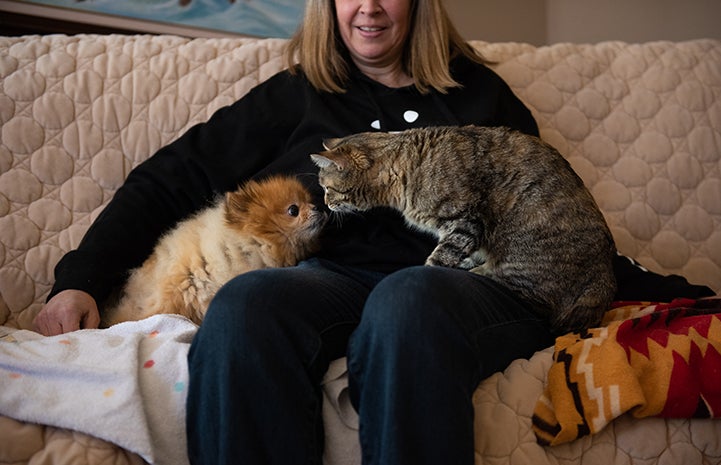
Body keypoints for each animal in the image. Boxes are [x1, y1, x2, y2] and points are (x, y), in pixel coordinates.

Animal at [310, 125, 612, 332]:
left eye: (327, 188)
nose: (325, 204)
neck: (404, 164)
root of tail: (604, 277)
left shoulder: (464, 222)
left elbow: (438, 258)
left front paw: (431, 270)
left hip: (521, 259)